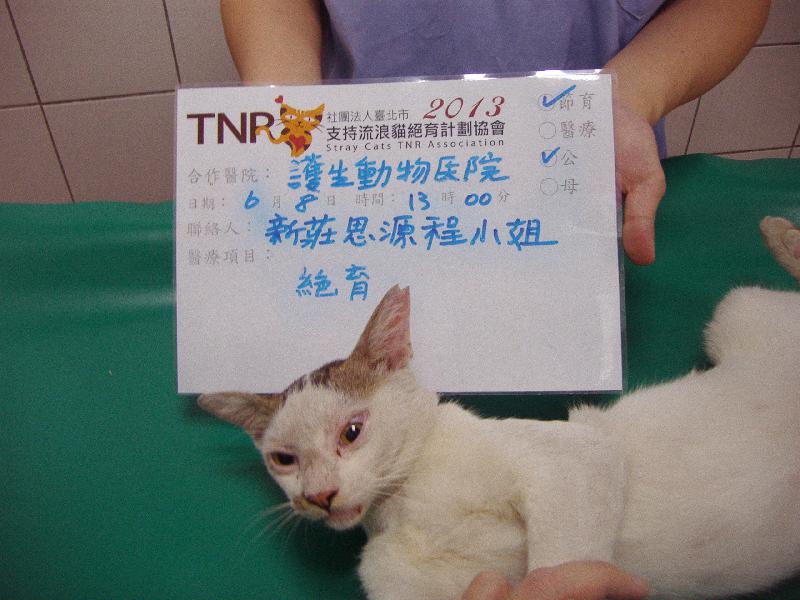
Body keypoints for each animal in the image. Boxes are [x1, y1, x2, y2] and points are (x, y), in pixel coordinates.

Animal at [199, 216, 800, 599]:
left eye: (351, 431)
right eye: (283, 460)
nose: (318, 496)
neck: (403, 505)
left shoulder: (577, 454)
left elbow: (559, 565)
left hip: (734, 311)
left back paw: (781, 232)